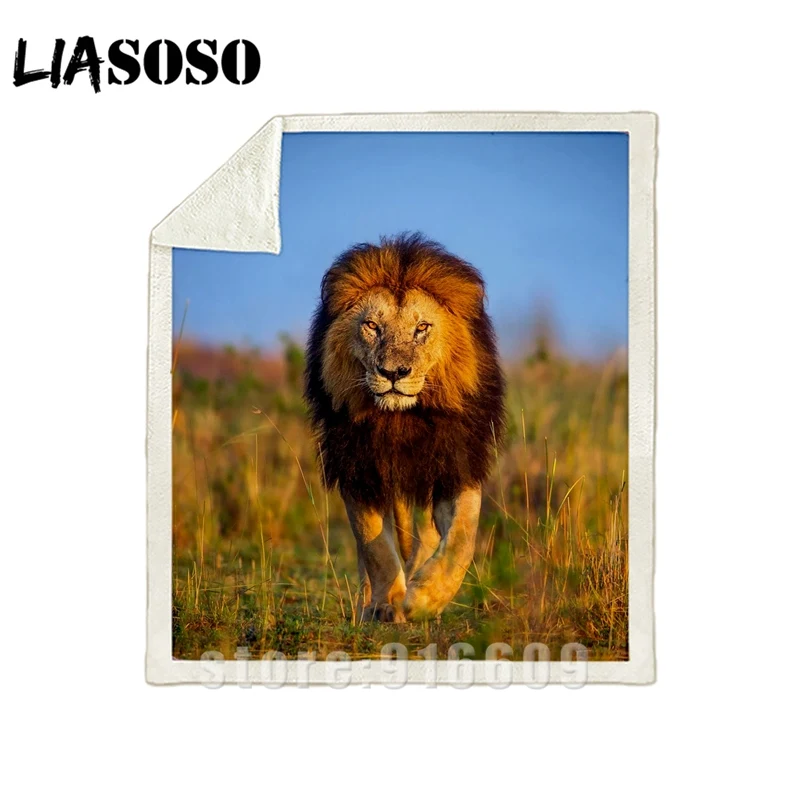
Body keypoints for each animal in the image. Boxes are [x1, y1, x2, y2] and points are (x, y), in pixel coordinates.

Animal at [304, 233, 506, 622]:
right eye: (372, 326)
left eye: (421, 328)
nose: (393, 373)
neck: (401, 420)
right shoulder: (358, 466)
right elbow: (375, 546)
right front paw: (387, 604)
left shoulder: (455, 464)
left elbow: (461, 538)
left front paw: (424, 599)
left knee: (426, 536)